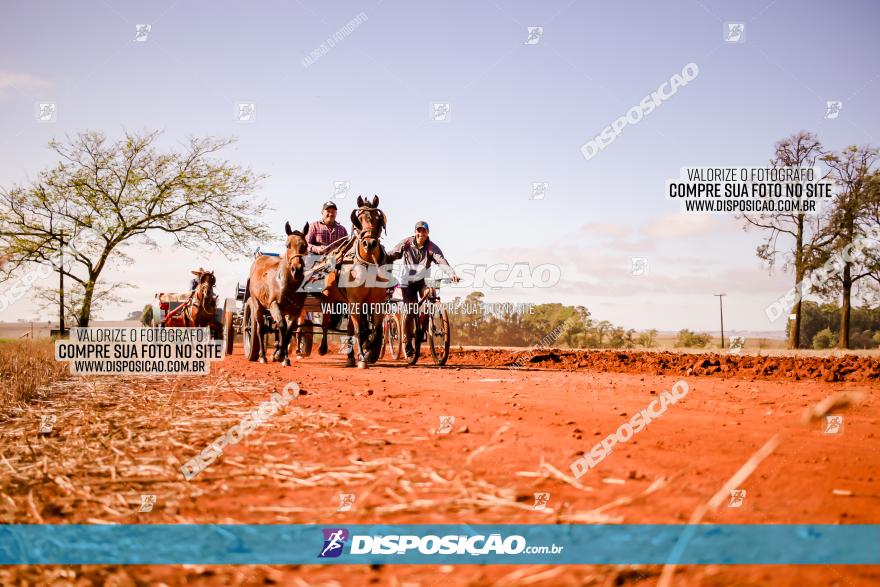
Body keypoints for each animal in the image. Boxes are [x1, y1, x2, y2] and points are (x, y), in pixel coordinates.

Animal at [244, 222, 310, 366]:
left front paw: (284, 357)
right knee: (260, 329)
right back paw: (262, 356)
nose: (297, 270)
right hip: (257, 305)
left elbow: (289, 331)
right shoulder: (274, 305)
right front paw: (279, 354)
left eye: (305, 245)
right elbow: (282, 326)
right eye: (287, 245)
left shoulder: (295, 311)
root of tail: (259, 257)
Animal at [324, 195, 388, 368]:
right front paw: (362, 358)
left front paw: (370, 349)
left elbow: (376, 328)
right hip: (330, 297)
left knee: (350, 329)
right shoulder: (355, 301)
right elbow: (359, 330)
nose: (370, 243)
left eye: (378, 218)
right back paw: (324, 348)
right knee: (326, 322)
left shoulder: (377, 301)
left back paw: (351, 357)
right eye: (358, 219)